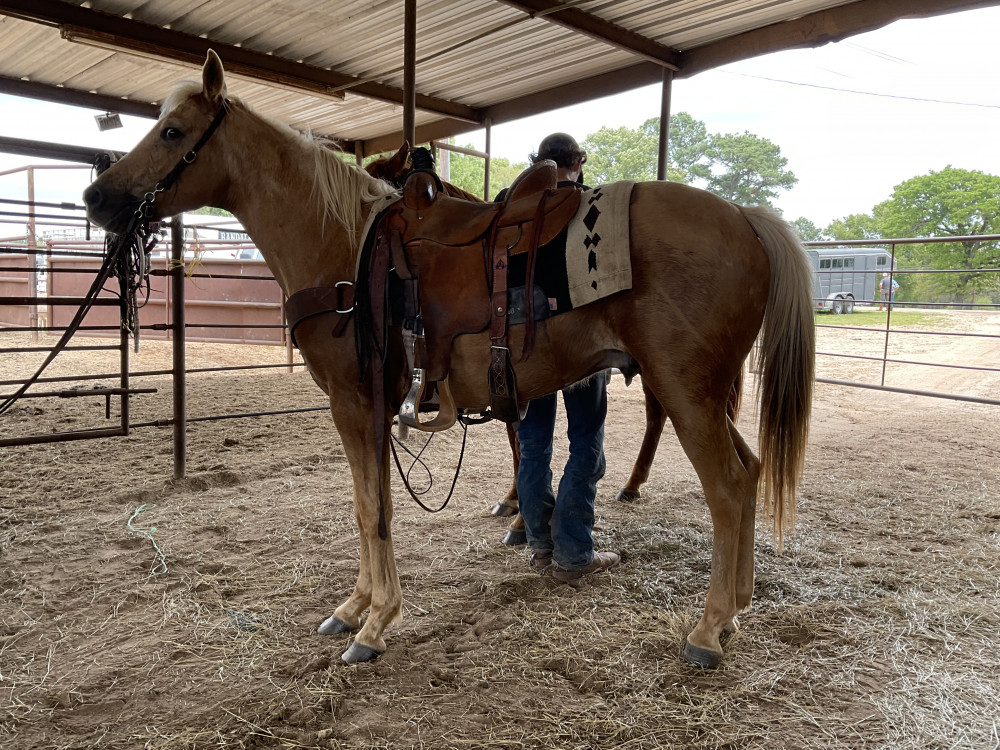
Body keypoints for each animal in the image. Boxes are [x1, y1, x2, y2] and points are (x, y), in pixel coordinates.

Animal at [84, 51, 815, 669]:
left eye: (173, 132)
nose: (97, 198)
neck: (345, 249)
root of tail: (745, 219)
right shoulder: (368, 409)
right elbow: (370, 502)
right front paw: (355, 607)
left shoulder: (355, 403)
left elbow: (370, 507)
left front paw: (376, 623)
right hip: (706, 394)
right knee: (750, 472)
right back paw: (735, 608)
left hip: (687, 391)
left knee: (728, 487)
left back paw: (707, 631)